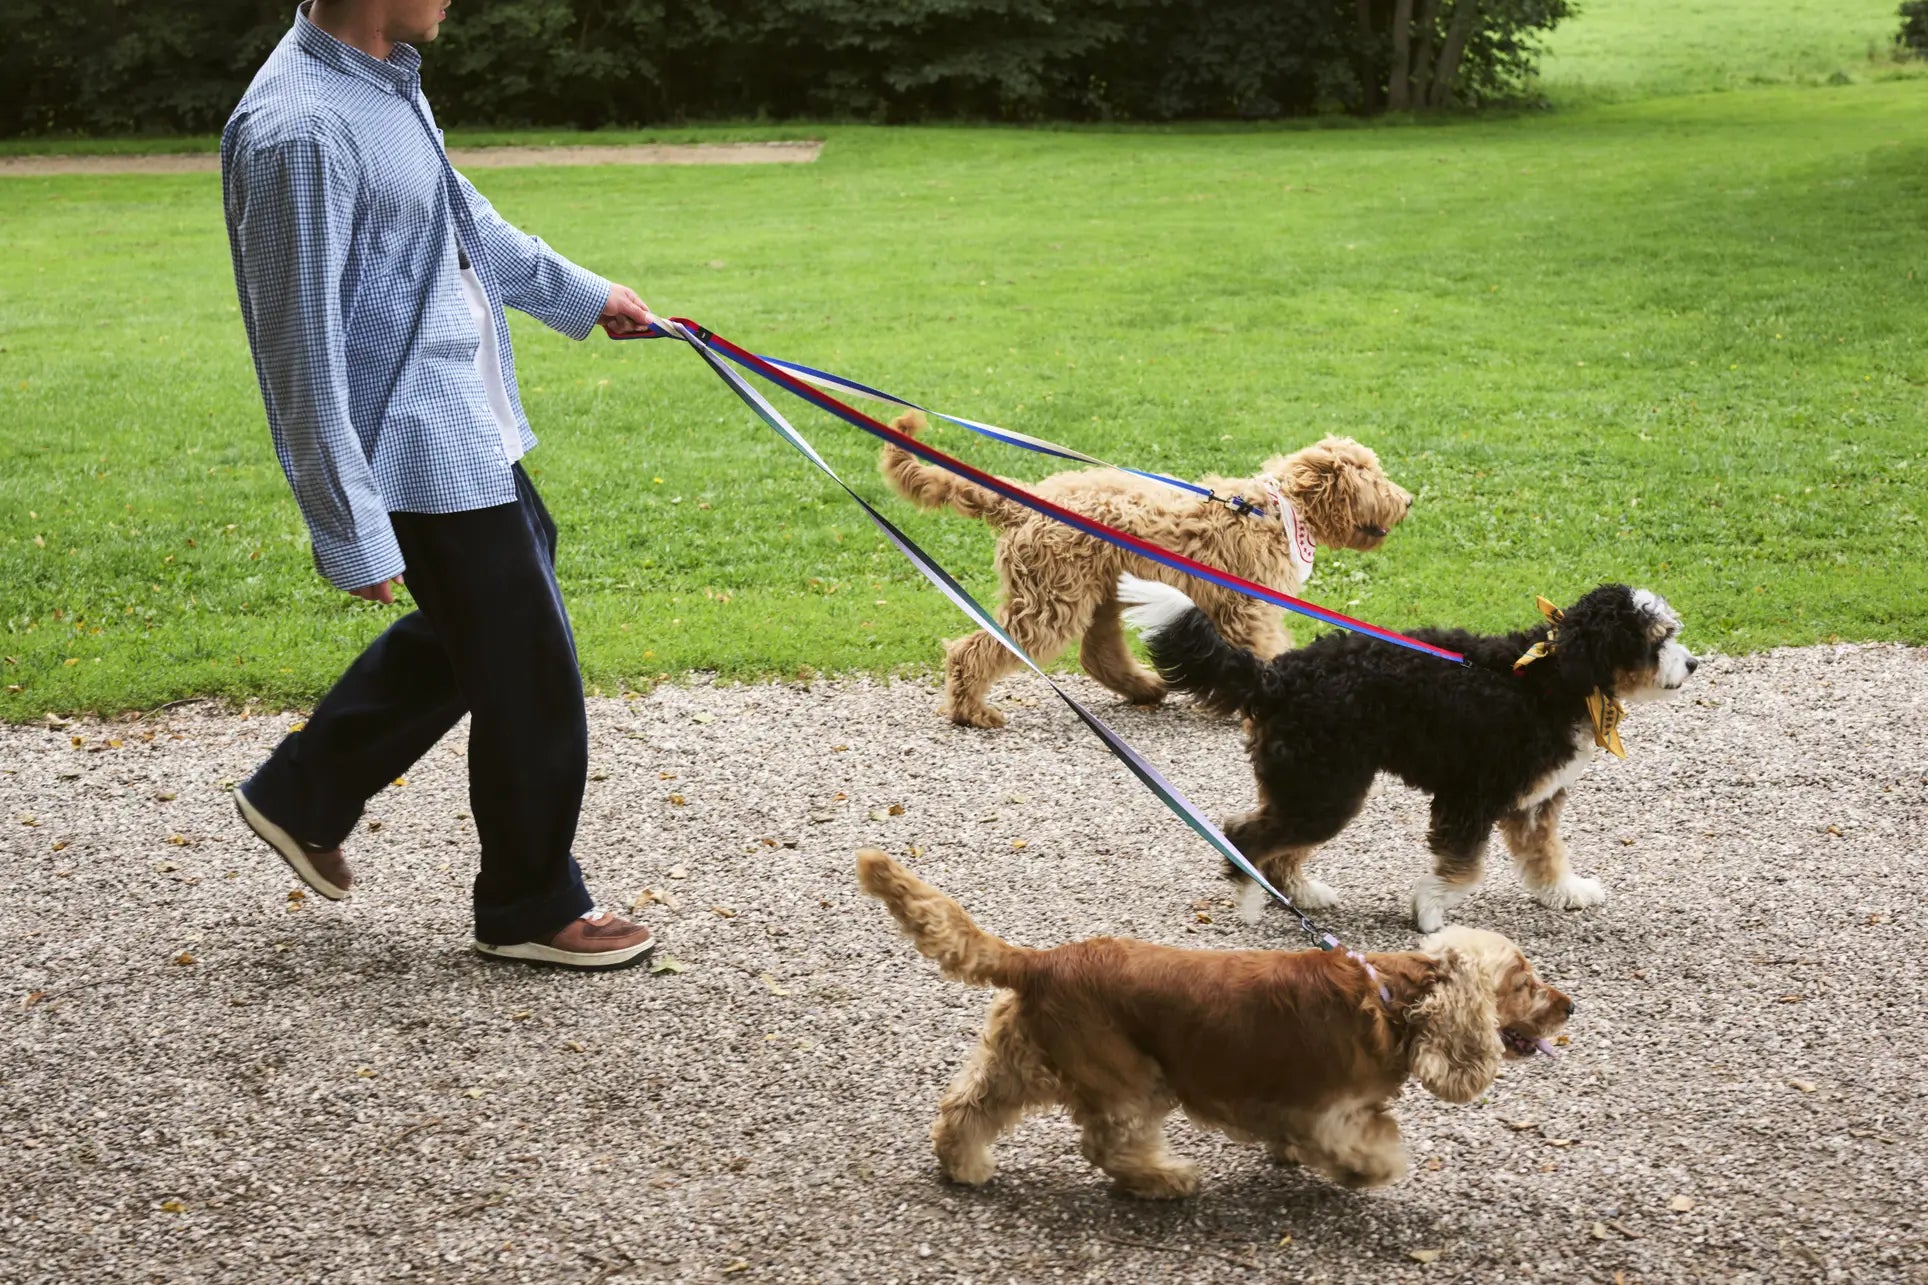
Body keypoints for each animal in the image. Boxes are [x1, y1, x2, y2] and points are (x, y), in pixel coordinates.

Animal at [859, 845, 1565, 1196]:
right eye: (1524, 982)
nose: (1570, 1006)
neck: (1393, 999)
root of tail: (1043, 960)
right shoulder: (1333, 1111)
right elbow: (1373, 1146)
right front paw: (1368, 1172)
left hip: (1022, 1056)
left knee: (966, 1105)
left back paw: (964, 1167)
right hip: (1129, 1076)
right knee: (1109, 1144)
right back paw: (1167, 1179)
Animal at [883, 414, 1411, 725]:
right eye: (1372, 476)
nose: (1406, 501)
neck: (1273, 511)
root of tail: (1024, 502)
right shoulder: (1246, 607)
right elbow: (1262, 649)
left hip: (1094, 593)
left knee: (1098, 654)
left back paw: (1145, 687)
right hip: (1050, 601)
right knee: (974, 650)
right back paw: (970, 710)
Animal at [1110, 578, 1696, 929]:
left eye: (1670, 633)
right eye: (1655, 639)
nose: (1691, 664)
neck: (1549, 676)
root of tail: (1276, 675)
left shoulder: (1535, 800)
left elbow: (1546, 852)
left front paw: (1564, 891)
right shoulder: (1469, 796)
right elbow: (1463, 868)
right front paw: (1431, 913)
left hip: (1312, 788)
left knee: (1277, 845)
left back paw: (1301, 893)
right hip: (1325, 789)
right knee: (1246, 834)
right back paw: (1253, 901)